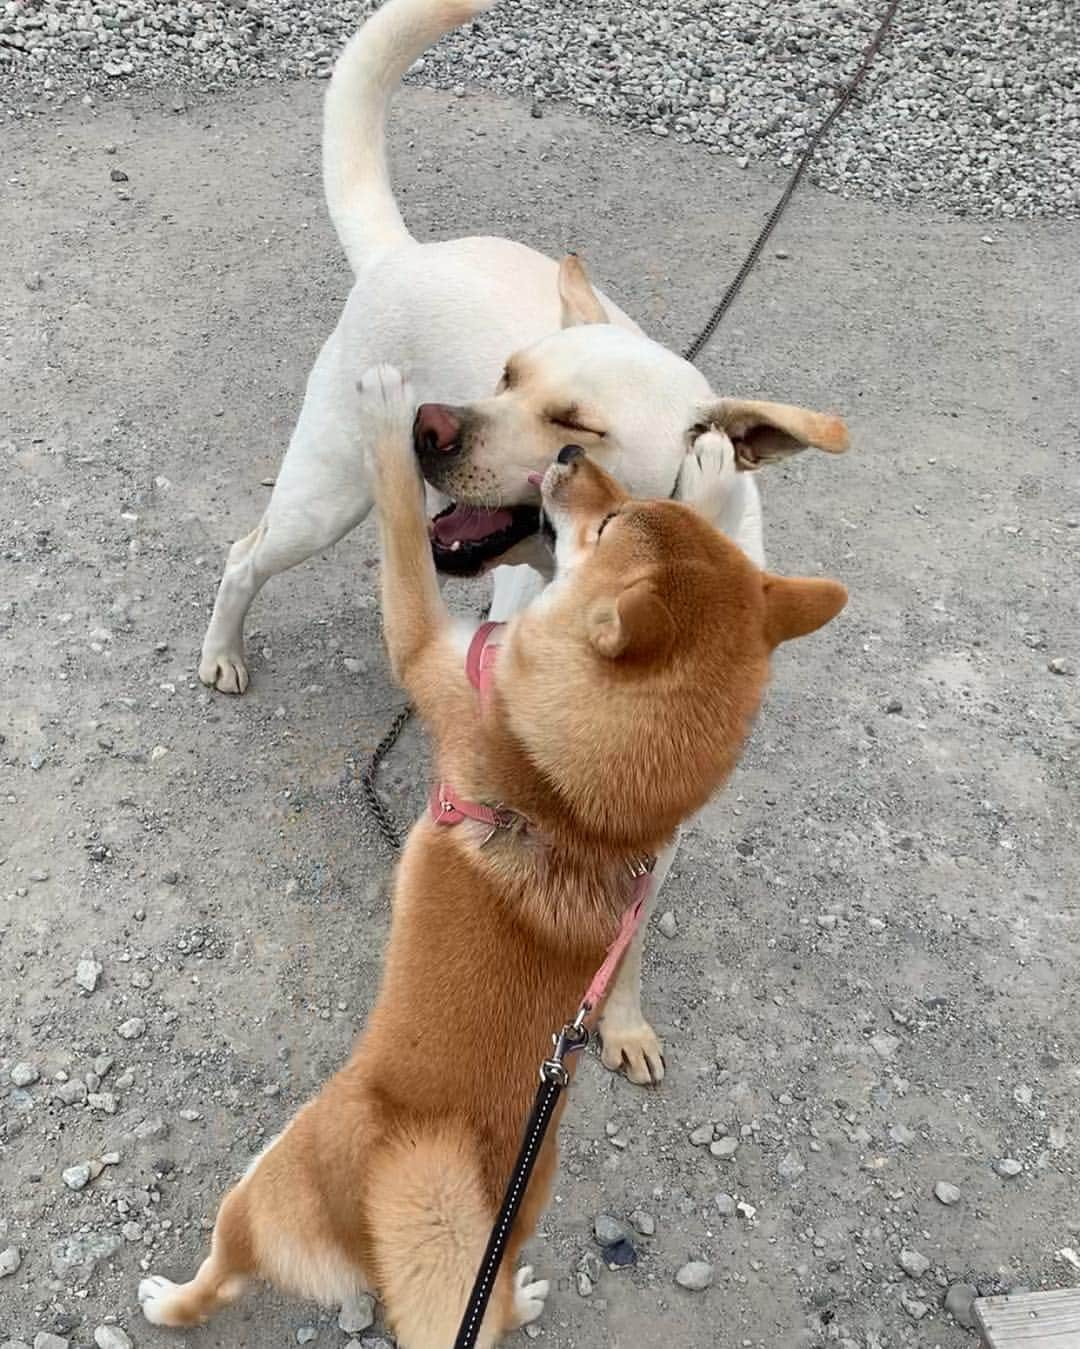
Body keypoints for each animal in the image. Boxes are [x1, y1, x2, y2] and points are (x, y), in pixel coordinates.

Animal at [142, 369, 846, 1349]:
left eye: (607, 521)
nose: (568, 457)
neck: (575, 809)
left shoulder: (430, 650)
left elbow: (405, 531)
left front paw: (386, 409)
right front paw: (706, 471)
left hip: (260, 1177)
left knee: (214, 1277)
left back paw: (158, 1299)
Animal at [198, 0, 846, 1084]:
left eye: (575, 424)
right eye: (507, 373)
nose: (428, 427)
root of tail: (405, 251)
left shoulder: (660, 824)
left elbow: (629, 934)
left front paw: (618, 1021)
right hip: (323, 495)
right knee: (244, 551)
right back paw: (222, 651)